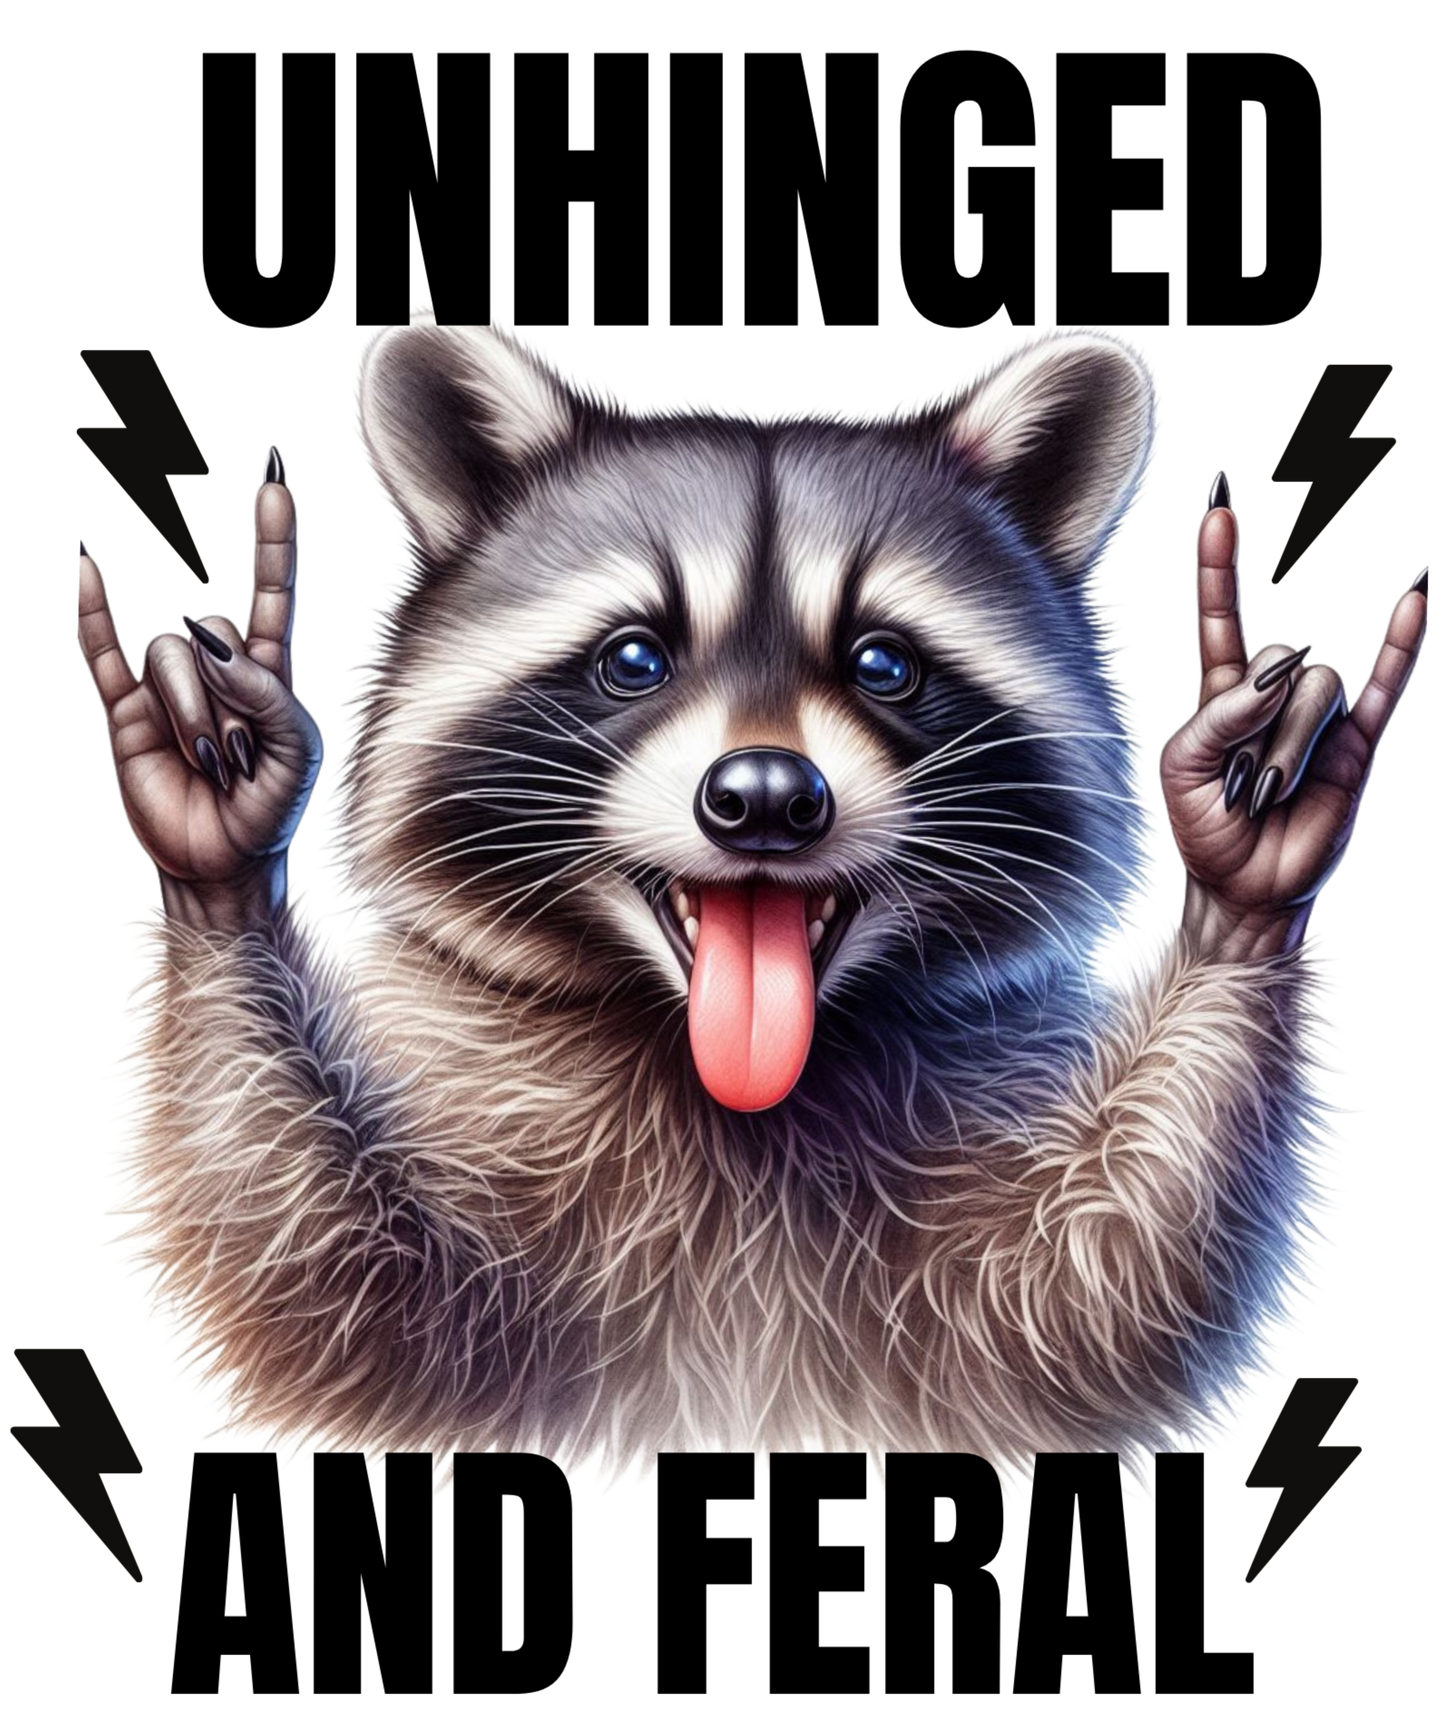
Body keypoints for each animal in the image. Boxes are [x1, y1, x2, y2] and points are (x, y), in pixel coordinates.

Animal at [77, 305, 1423, 1494]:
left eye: (883, 664)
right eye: (633, 658)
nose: (768, 799)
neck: (735, 1088)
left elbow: (1091, 1297)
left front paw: (1241, 866)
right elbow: (332, 1295)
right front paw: (221, 844)